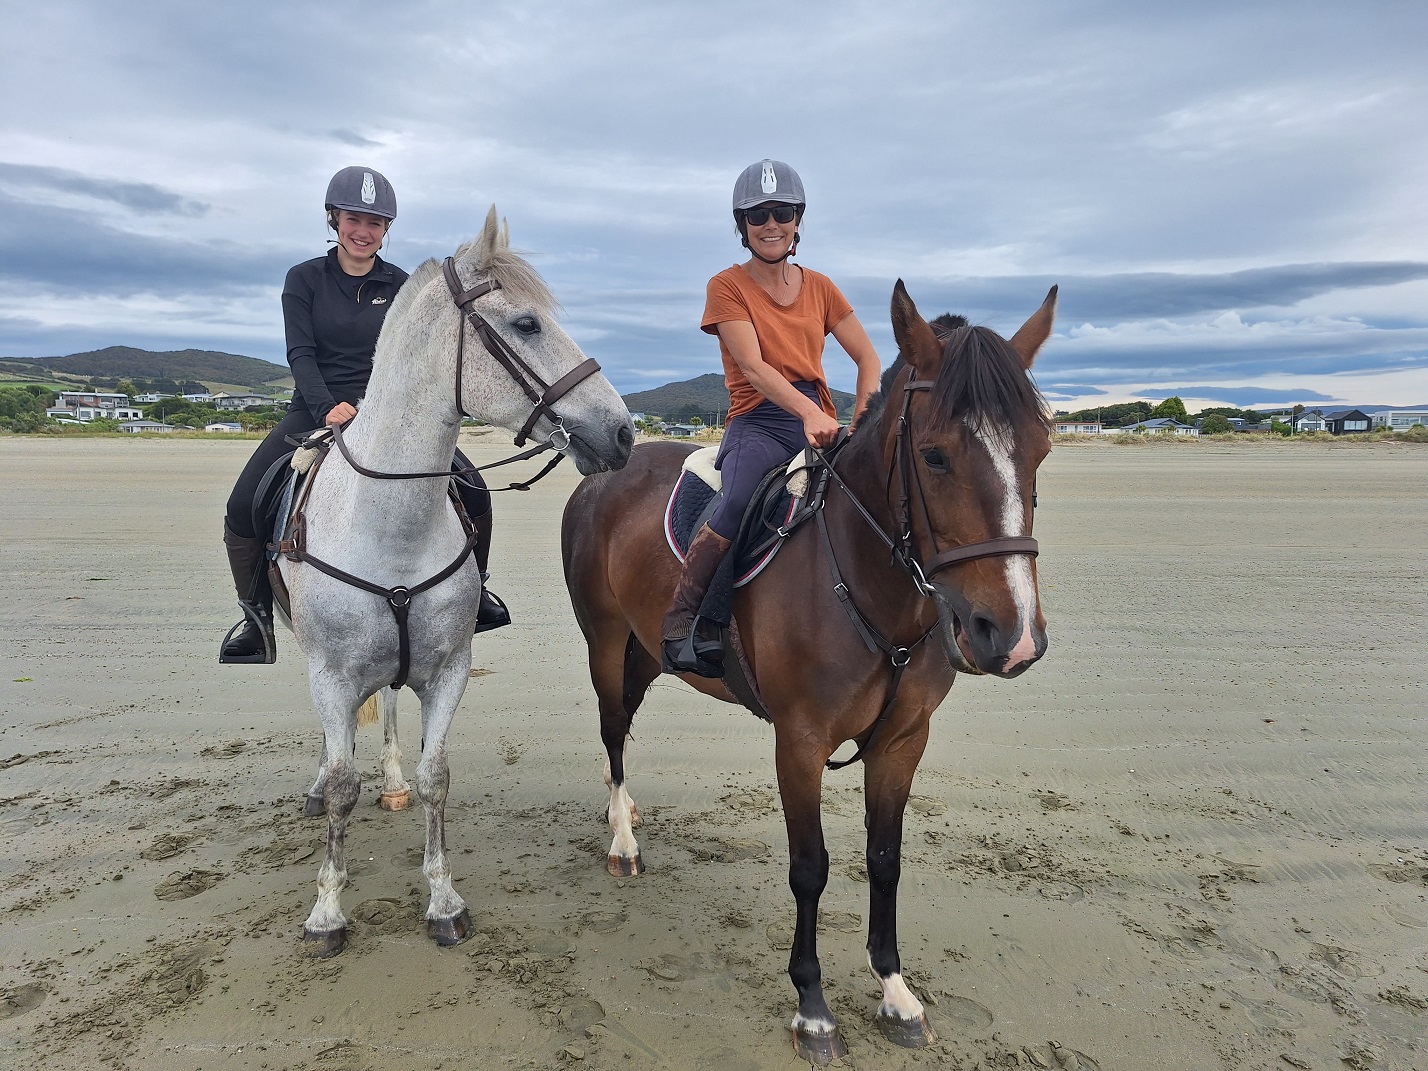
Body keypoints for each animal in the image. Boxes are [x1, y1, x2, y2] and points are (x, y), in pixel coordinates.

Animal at [278, 209, 631, 953]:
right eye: (526, 324)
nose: (622, 433)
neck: (389, 523)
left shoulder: (449, 667)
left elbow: (435, 777)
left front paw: (442, 899)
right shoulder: (329, 672)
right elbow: (342, 781)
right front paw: (327, 910)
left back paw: (389, 781)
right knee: (337, 749)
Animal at [562, 282, 1056, 1068]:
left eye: (1041, 449)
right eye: (935, 456)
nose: (1010, 637)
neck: (865, 577)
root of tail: (606, 476)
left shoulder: (902, 741)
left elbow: (883, 858)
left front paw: (895, 991)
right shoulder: (798, 742)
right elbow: (810, 867)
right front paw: (813, 1007)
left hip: (642, 651)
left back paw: (627, 815)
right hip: (606, 646)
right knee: (612, 734)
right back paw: (623, 841)